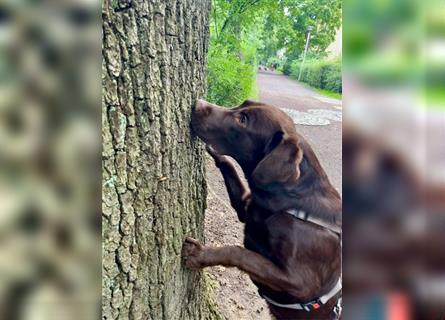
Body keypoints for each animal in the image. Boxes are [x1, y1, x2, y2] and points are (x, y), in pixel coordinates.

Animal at [182, 99, 342, 318]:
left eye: (242, 120)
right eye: (242, 105)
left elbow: (239, 253)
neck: (292, 200)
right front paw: (214, 152)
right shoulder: (247, 207)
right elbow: (229, 168)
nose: (199, 103)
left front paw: (198, 254)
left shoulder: (300, 282)